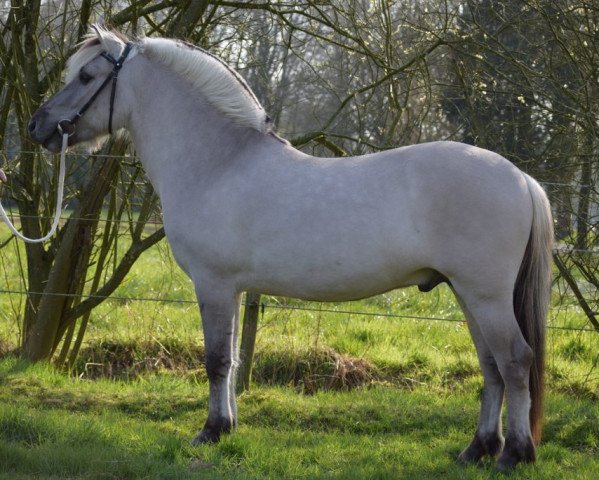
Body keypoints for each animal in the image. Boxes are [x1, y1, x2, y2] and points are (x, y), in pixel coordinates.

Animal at [27, 26, 552, 468]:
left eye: (87, 76)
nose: (37, 126)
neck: (220, 162)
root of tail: (521, 178)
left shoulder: (214, 285)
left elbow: (216, 360)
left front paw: (210, 432)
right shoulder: (235, 289)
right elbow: (233, 359)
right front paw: (227, 427)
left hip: (484, 295)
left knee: (514, 361)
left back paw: (514, 455)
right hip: (468, 295)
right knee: (491, 367)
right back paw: (477, 449)